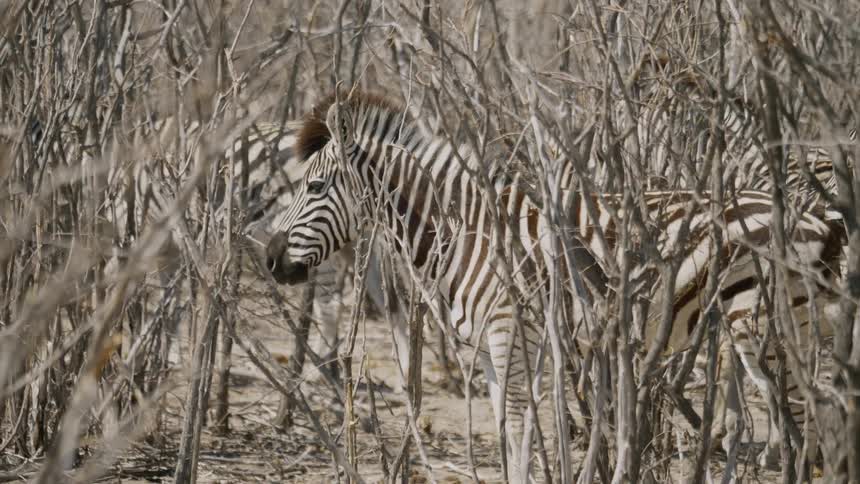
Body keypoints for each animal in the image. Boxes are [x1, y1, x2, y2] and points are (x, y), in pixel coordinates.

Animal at [264, 90, 844, 479]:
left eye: (315, 186)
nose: (270, 259)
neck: (470, 234)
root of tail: (818, 218)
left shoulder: (510, 337)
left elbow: (520, 435)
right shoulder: (503, 350)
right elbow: (507, 435)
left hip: (767, 330)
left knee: (811, 421)